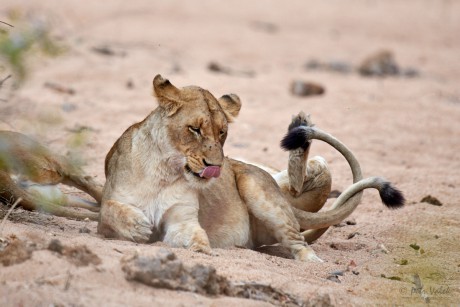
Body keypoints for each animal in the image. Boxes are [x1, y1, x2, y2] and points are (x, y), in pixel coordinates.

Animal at [96, 75, 402, 262]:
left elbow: (197, 239)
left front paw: (202, 252)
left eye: (222, 132)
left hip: (258, 189)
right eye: (194, 129)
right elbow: (109, 209)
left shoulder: (182, 220)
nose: (215, 166)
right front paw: (137, 226)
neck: (165, 171)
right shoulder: (108, 212)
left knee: (298, 239)